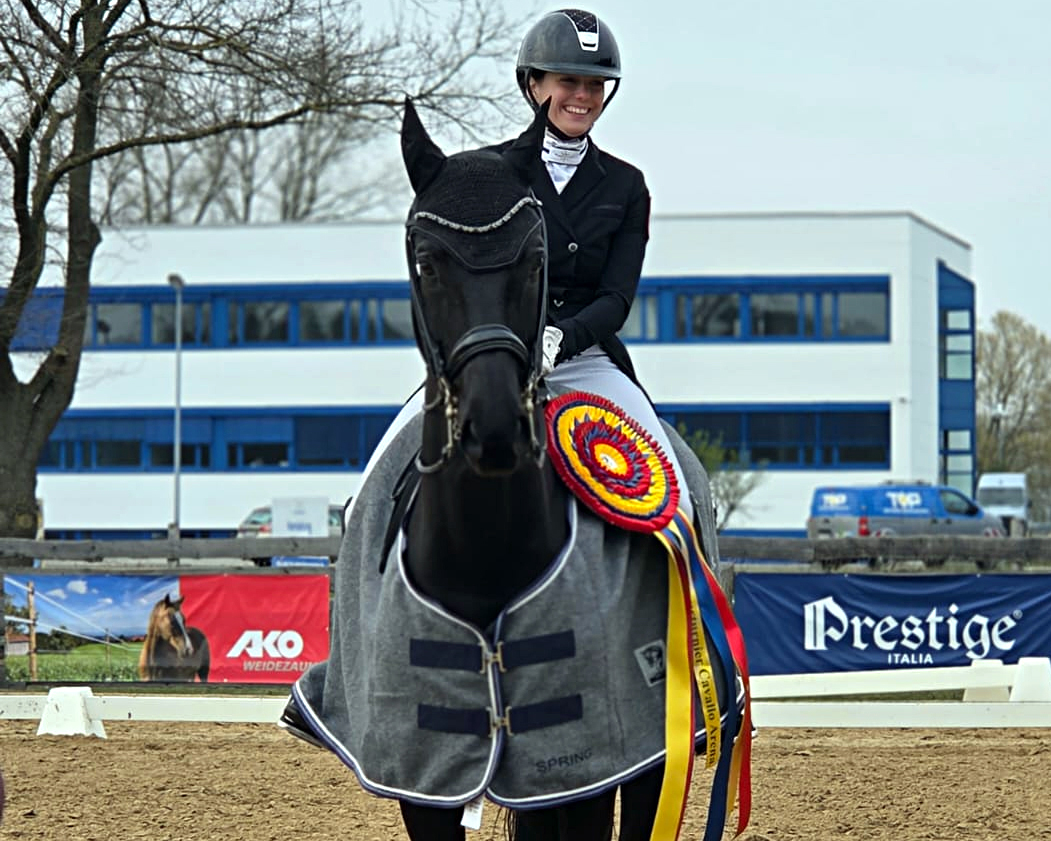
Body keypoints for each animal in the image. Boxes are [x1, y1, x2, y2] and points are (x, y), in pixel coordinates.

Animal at [282, 99, 749, 841]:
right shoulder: (422, 780)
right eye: (426, 260)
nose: (495, 428)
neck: (484, 552)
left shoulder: (585, 771)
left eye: (536, 259)